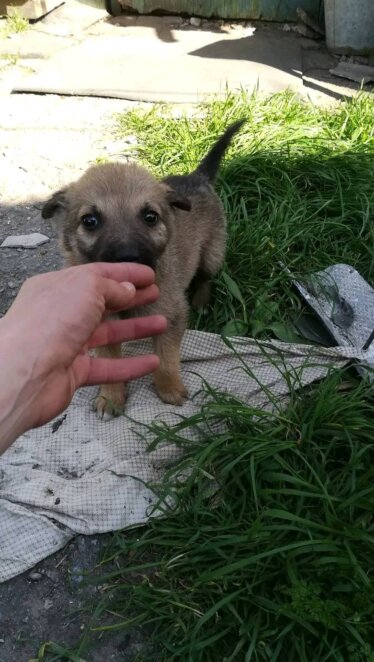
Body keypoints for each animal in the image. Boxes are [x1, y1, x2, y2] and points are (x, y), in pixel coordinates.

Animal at [41, 120, 245, 420]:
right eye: (89, 221)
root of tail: (196, 177)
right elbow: (111, 361)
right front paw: (111, 397)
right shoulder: (104, 326)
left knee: (205, 278)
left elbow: (166, 357)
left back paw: (201, 302)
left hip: (213, 253)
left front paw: (169, 388)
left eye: (150, 217)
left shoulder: (171, 317)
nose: (129, 257)